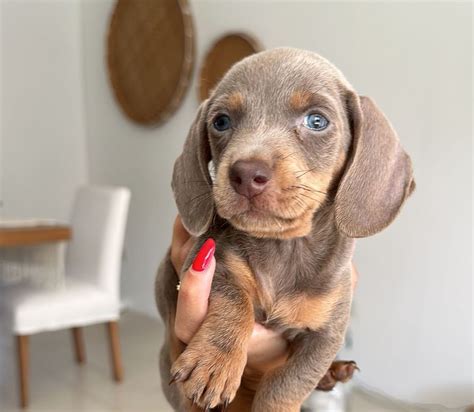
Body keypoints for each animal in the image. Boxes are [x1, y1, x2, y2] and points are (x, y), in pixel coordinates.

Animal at [156, 46, 414, 410]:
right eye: (221, 121)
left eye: (317, 121)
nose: (246, 174)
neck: (283, 246)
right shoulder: (211, 258)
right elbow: (234, 297)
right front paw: (215, 360)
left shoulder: (327, 335)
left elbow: (287, 384)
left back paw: (332, 373)